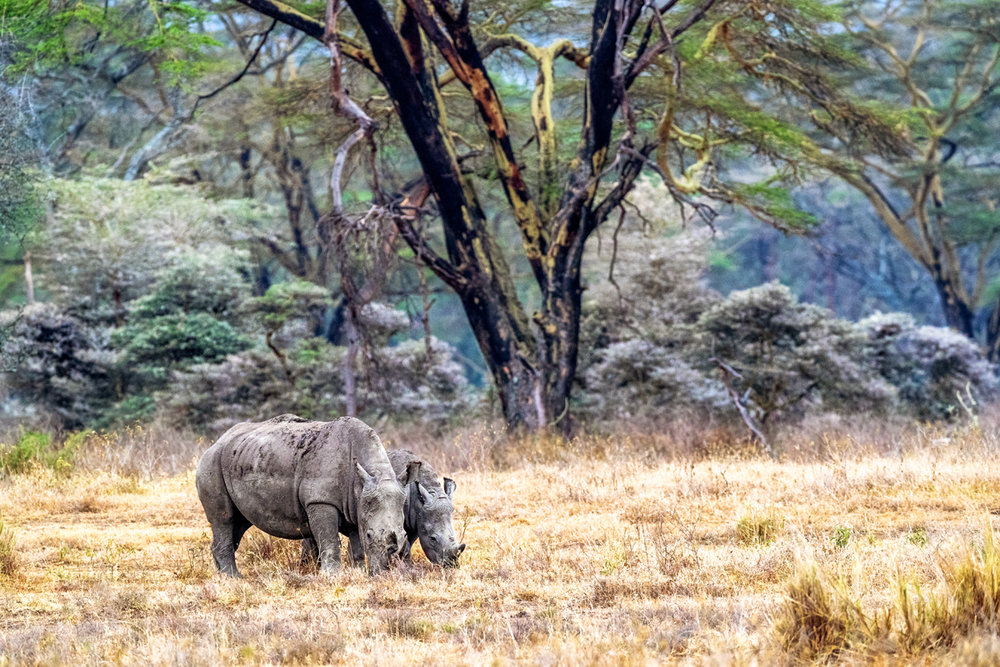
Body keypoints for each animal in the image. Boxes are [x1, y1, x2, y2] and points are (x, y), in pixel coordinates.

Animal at [195, 414, 418, 576]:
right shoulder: (319, 500)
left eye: (405, 536)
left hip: (240, 457)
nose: (383, 572)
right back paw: (233, 578)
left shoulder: (356, 505)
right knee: (224, 519)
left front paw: (358, 573)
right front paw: (332, 577)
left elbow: (356, 546)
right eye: (371, 535)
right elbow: (329, 540)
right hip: (211, 463)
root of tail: (218, 441)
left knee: (239, 523)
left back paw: (221, 576)